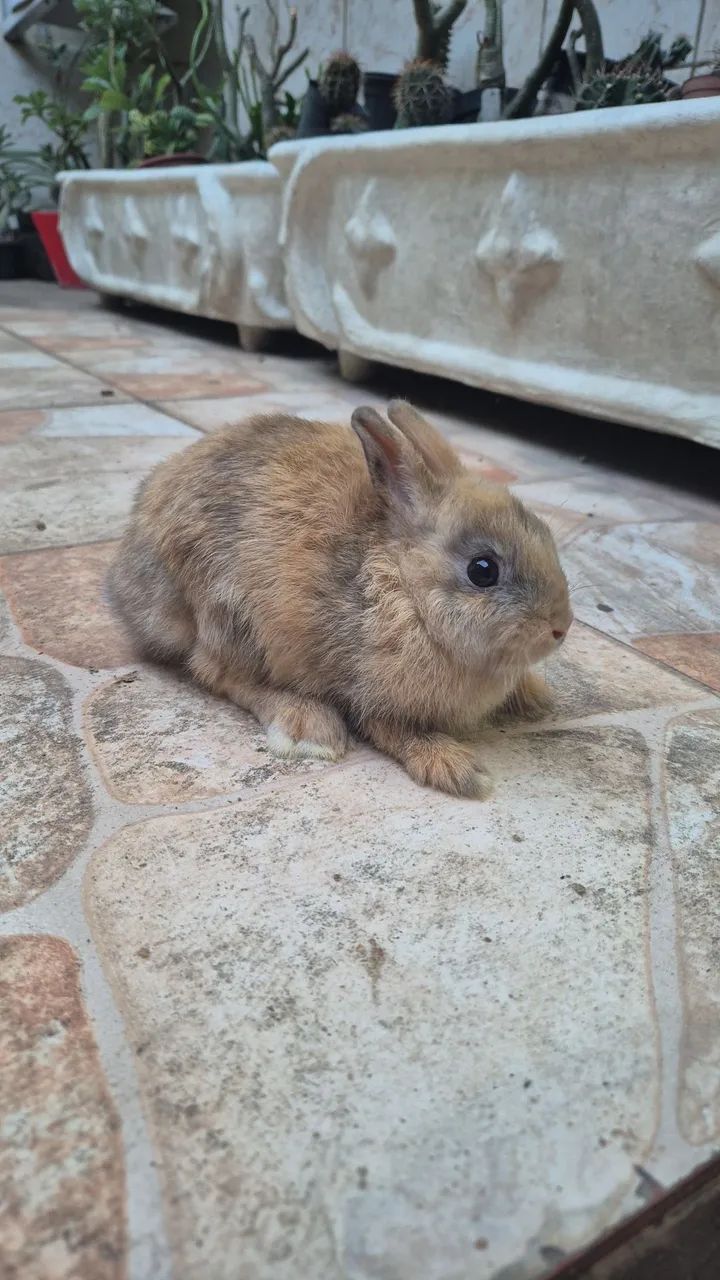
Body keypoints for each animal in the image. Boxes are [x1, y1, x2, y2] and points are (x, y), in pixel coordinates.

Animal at [107, 400, 572, 799]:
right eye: (483, 570)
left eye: (546, 535)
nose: (560, 627)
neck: (406, 592)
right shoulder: (371, 694)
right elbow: (397, 732)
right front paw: (460, 770)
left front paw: (537, 696)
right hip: (229, 616)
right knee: (220, 675)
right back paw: (306, 727)